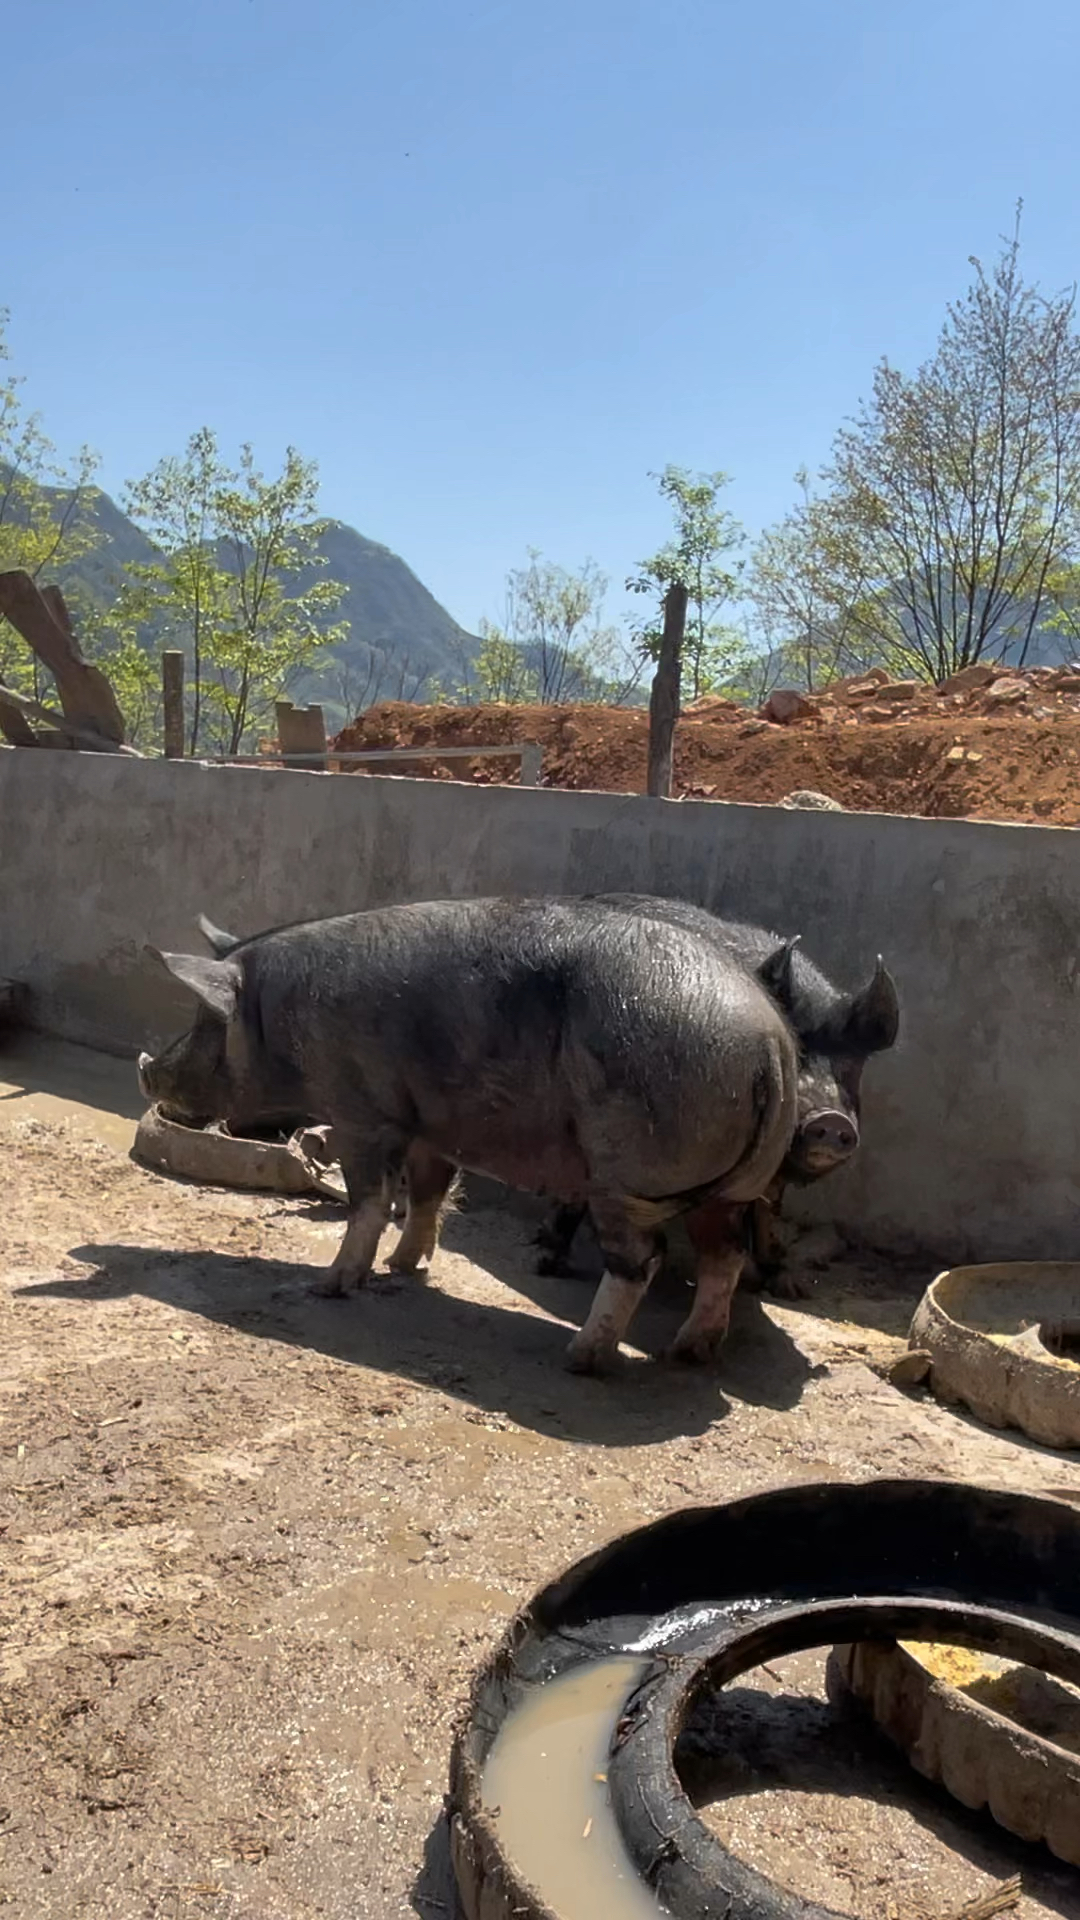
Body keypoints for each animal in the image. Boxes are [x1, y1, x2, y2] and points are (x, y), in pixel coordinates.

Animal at [138, 894, 795, 1367]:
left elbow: (369, 1202)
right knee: (724, 1256)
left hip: (628, 1169)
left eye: (208, 1020)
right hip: (730, 1187)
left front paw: (331, 1285)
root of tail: (768, 1041)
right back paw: (688, 1352)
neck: (279, 1016)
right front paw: (404, 1268)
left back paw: (580, 1357)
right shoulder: (431, 1123)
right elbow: (427, 1195)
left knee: (642, 1259)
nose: (148, 1072)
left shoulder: (361, 1113)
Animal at [534, 894, 895, 1290]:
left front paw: (788, 1286)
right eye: (795, 1052)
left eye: (851, 1067)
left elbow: (769, 1206)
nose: (831, 1119)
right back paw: (548, 1260)